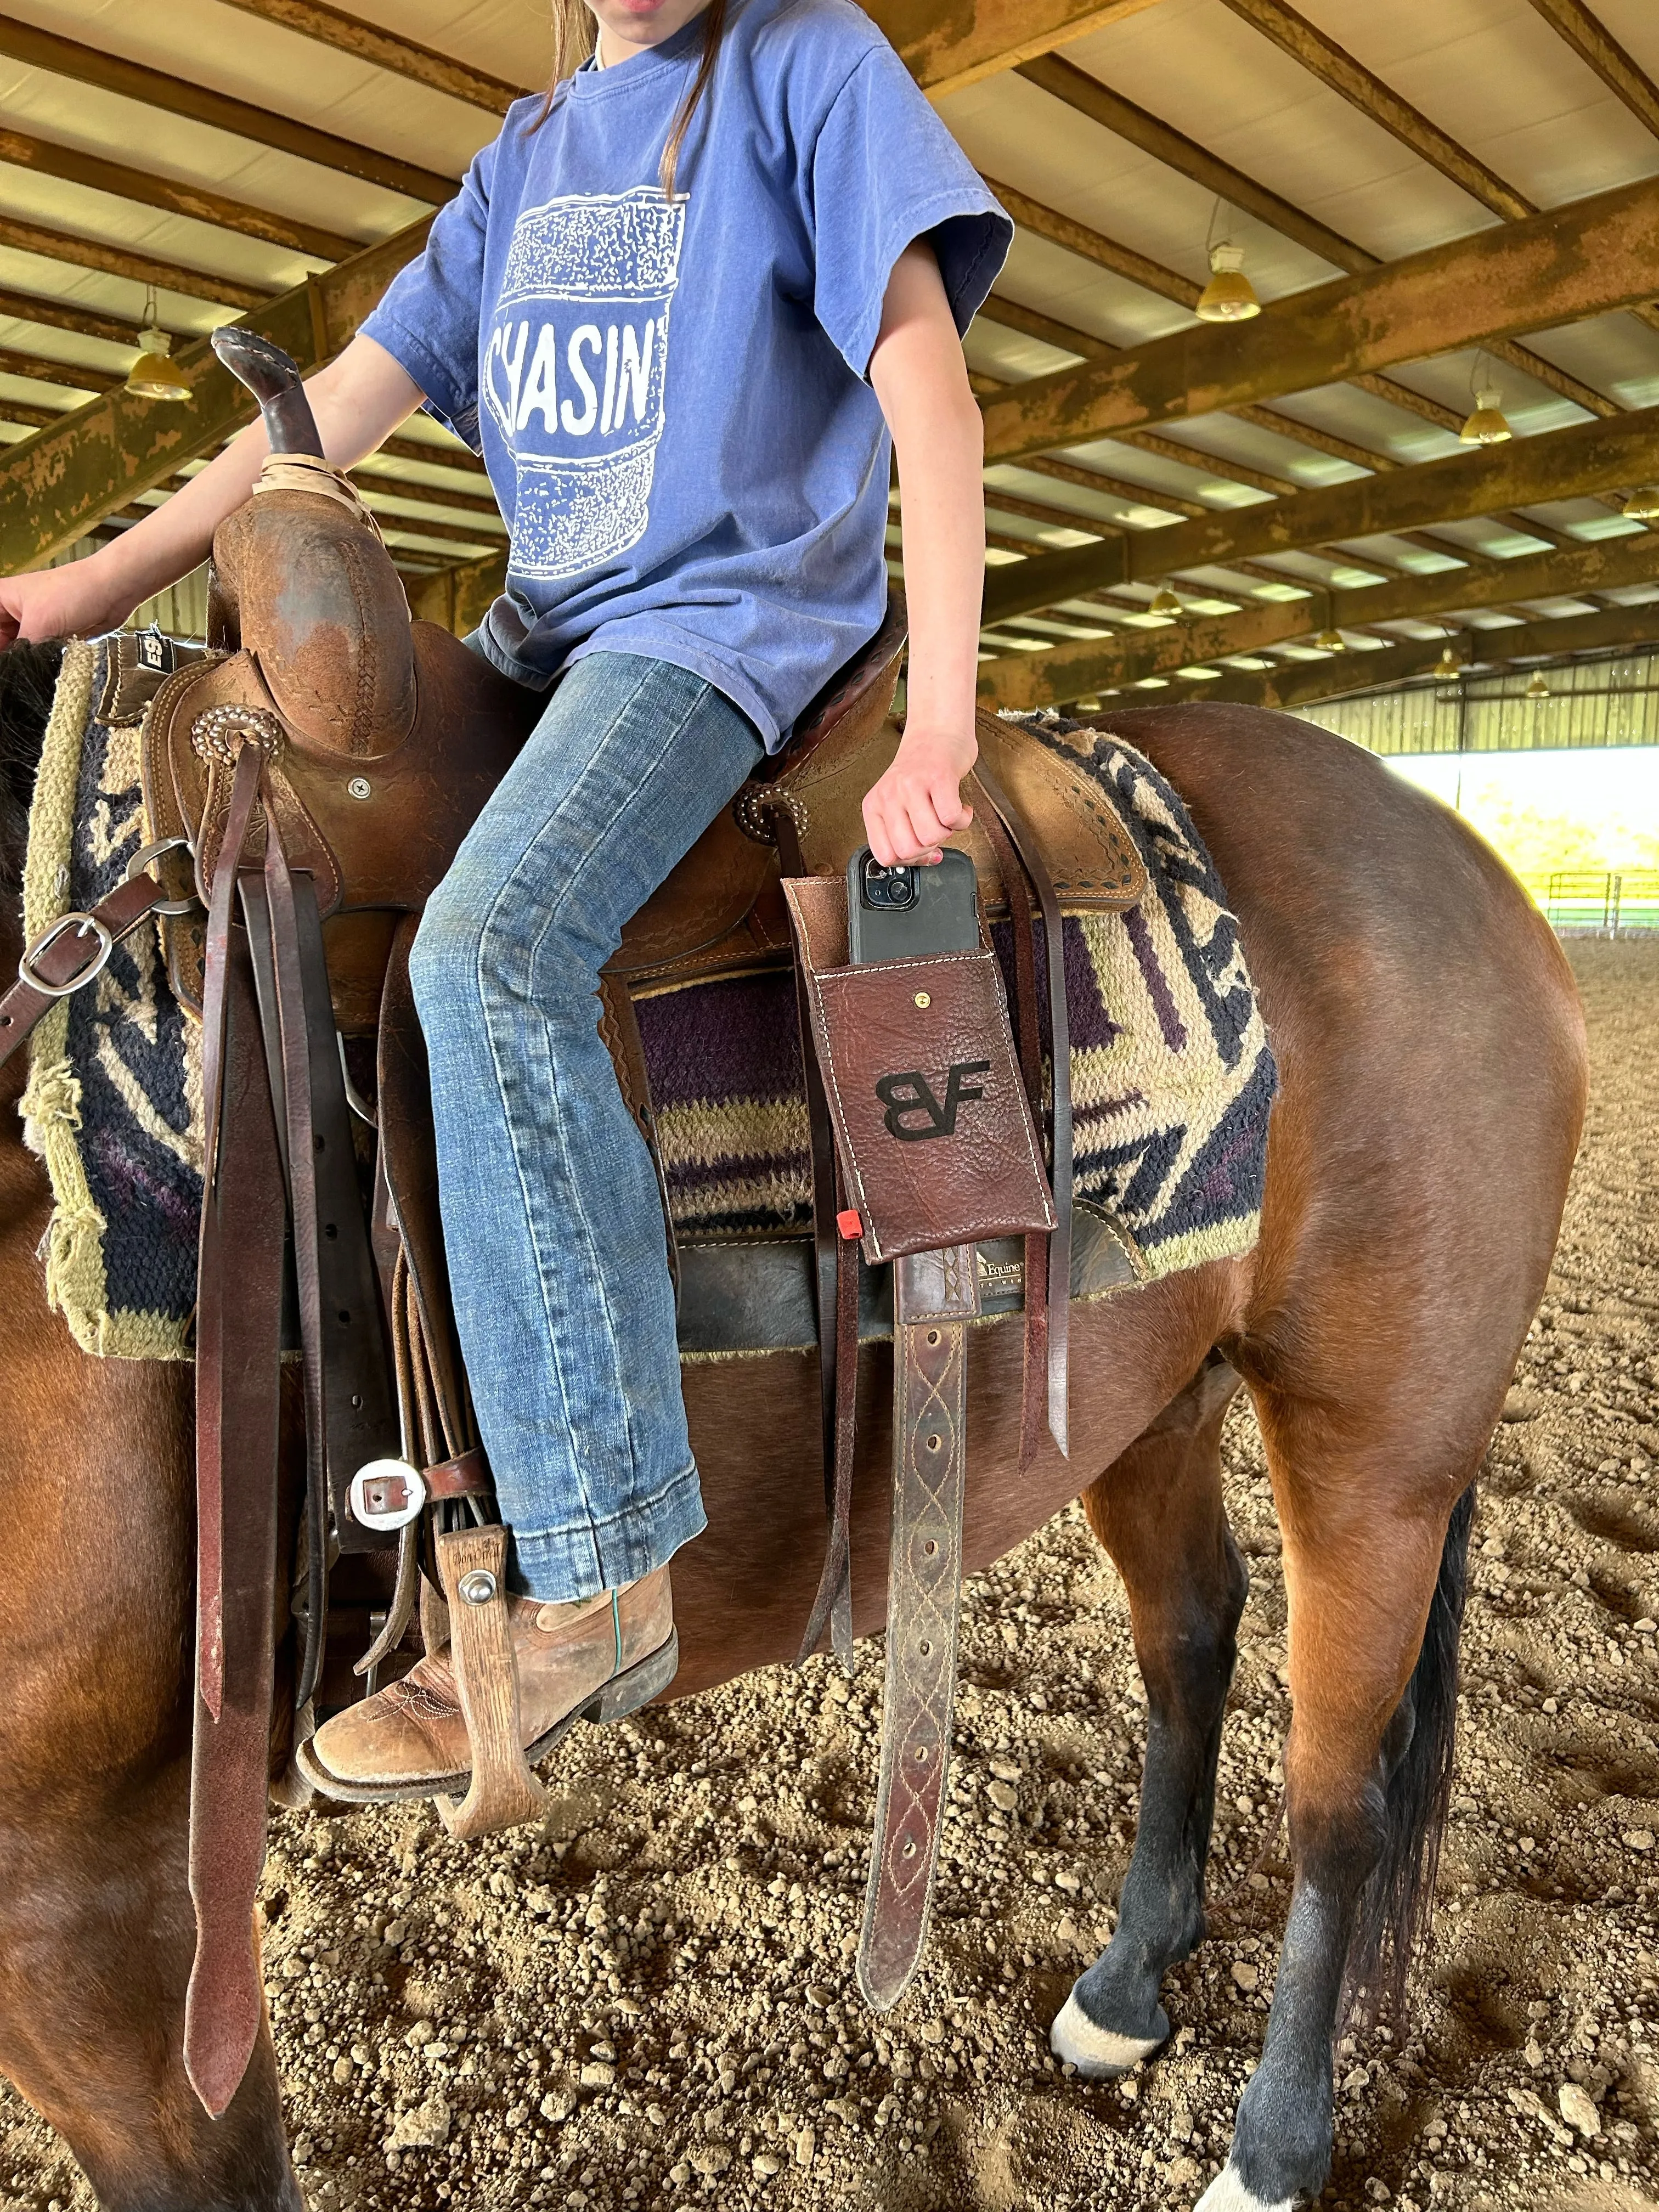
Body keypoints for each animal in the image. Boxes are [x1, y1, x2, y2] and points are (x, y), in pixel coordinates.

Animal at [0, 641, 1583, 2212]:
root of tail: (1462, 855)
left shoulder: (86, 1889)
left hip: (1379, 1449)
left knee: (1339, 1795)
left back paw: (1273, 2148)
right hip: (1150, 1401)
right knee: (1192, 1646)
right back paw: (1129, 1989)